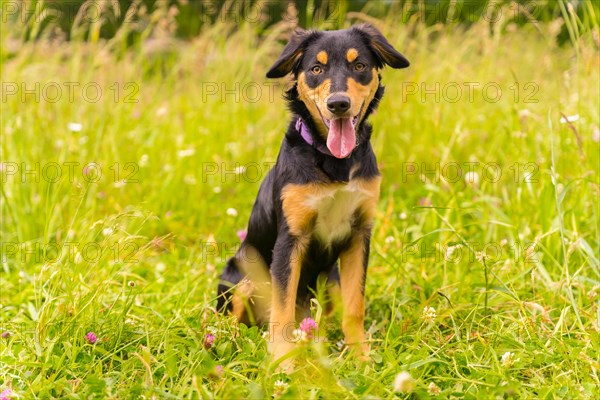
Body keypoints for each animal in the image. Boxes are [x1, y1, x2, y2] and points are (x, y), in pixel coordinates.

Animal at [218, 24, 410, 362]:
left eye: (359, 65)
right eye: (316, 69)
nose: (339, 104)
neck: (335, 162)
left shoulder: (359, 234)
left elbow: (355, 308)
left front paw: (361, 356)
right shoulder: (291, 238)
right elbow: (281, 310)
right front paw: (283, 362)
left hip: (330, 280)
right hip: (244, 275)